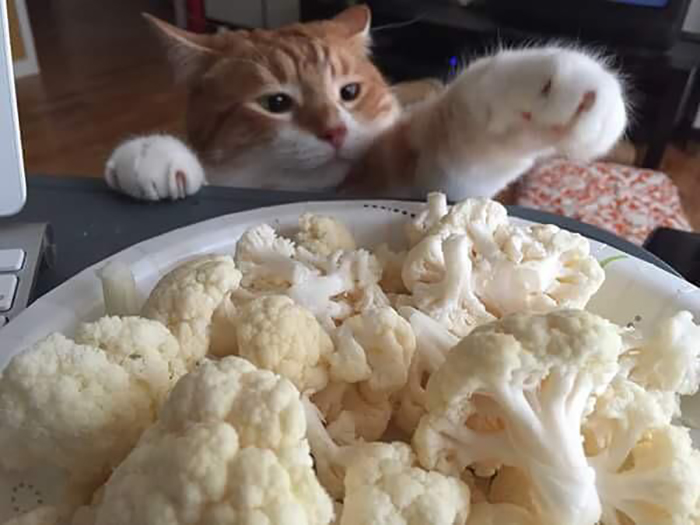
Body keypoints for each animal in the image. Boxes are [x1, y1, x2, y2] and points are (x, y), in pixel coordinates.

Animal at [105, 6, 628, 203]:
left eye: (349, 93)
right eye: (276, 102)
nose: (334, 131)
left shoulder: (430, 175)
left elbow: (461, 124)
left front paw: (558, 85)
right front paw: (150, 154)